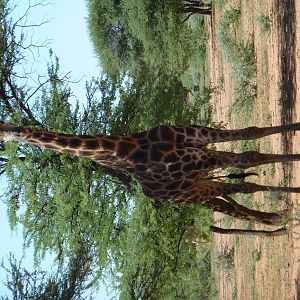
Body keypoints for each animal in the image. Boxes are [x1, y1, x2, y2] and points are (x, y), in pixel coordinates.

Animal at [0, 120, 300, 233]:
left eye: (6, 128)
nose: (9, 135)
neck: (129, 151)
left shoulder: (202, 139)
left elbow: (253, 135)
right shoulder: (203, 158)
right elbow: (251, 157)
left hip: (201, 182)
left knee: (238, 195)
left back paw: (278, 219)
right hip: (196, 191)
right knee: (239, 198)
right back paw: (278, 219)